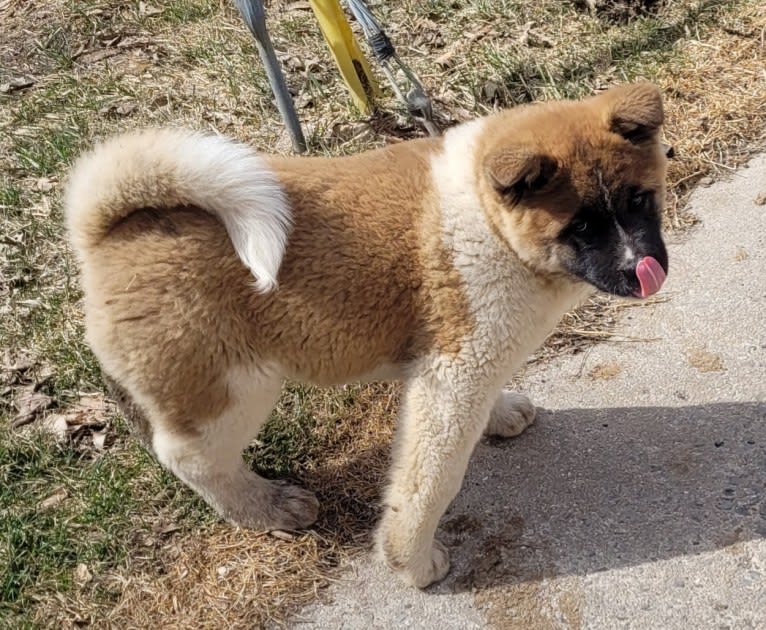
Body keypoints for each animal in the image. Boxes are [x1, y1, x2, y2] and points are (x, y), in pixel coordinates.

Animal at [66, 81, 668, 592]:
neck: (489, 218)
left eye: (639, 199)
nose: (644, 268)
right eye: (580, 227)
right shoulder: (453, 377)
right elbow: (428, 481)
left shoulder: (463, 366)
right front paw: (410, 562)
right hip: (231, 388)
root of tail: (106, 229)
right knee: (189, 456)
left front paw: (501, 414)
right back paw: (269, 507)